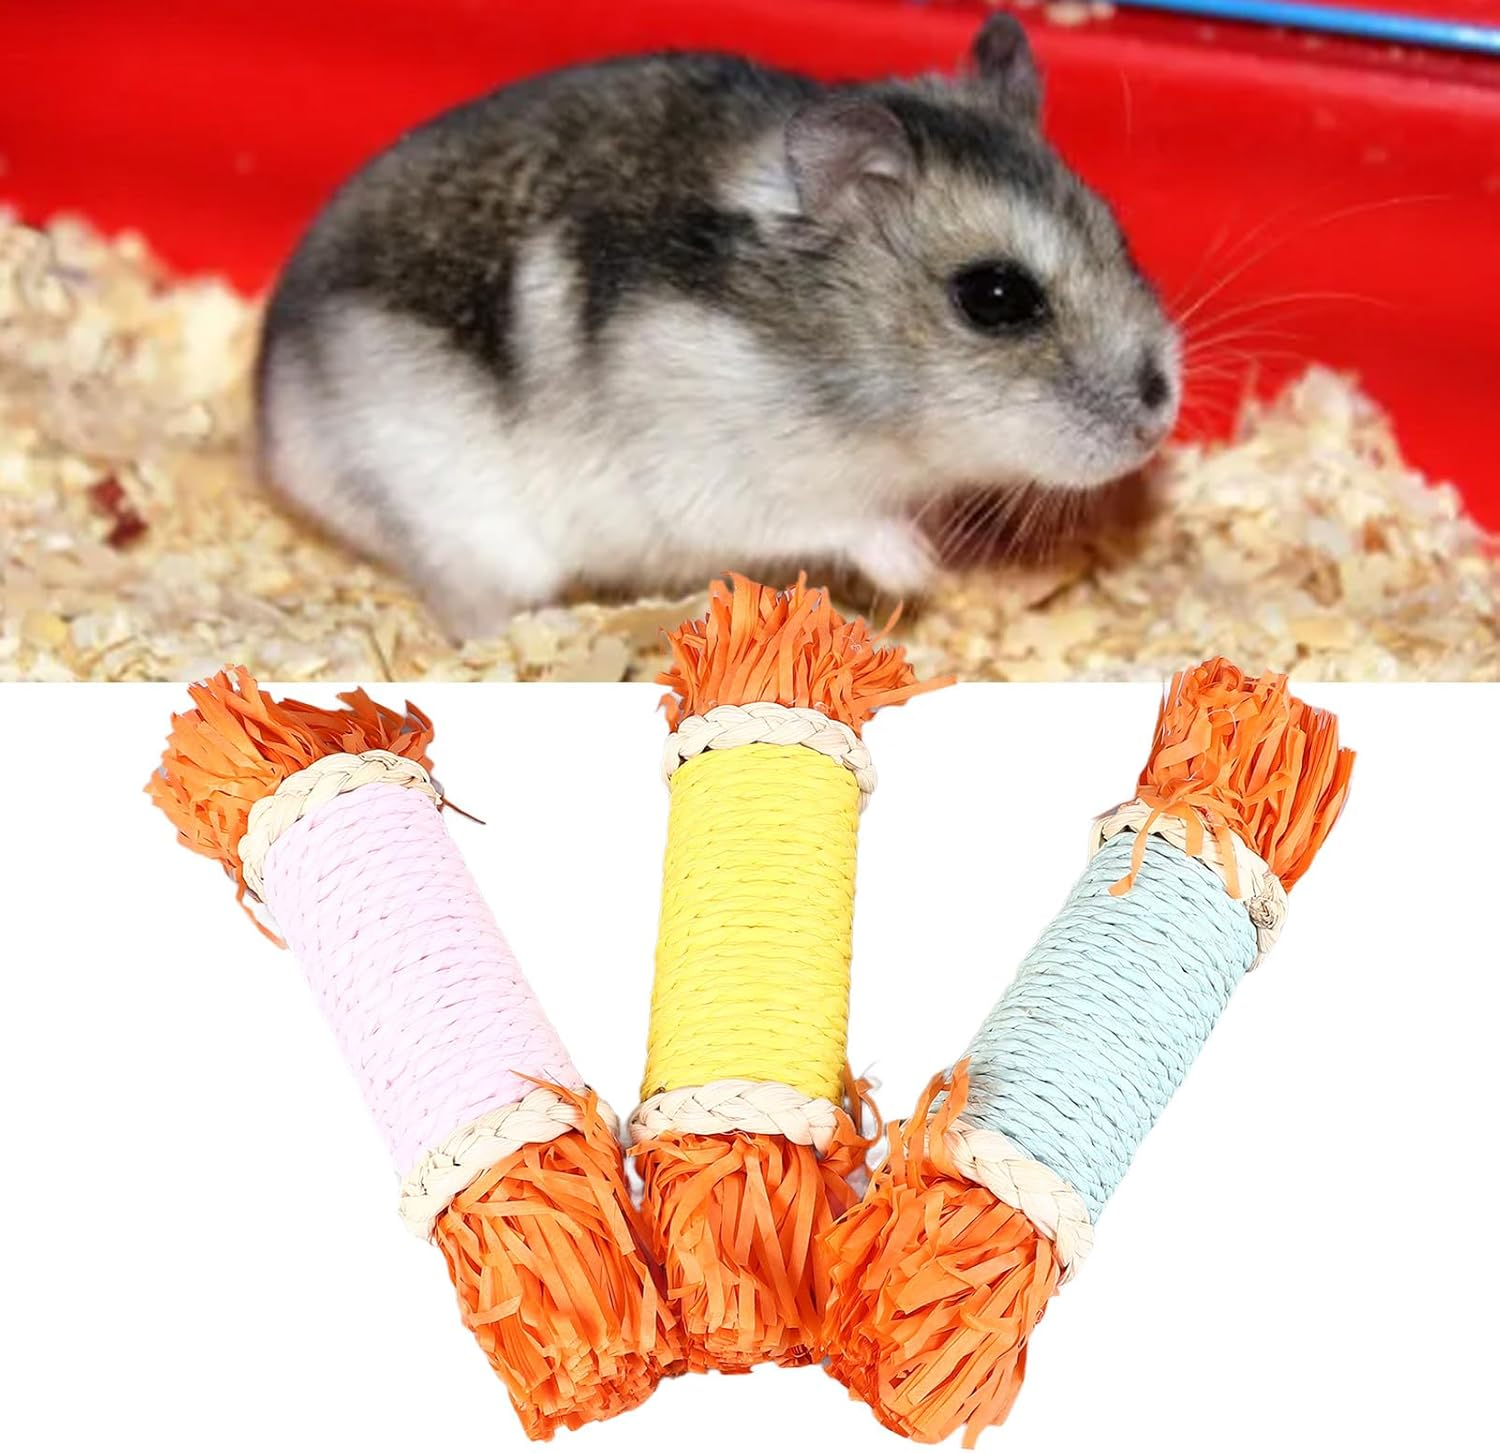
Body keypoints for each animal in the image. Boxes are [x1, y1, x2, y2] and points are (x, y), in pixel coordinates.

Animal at [255, 15, 1179, 638]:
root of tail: (269, 421)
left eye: (1119, 229)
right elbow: (845, 521)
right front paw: (921, 571)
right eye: (994, 297)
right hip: (448, 518)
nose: (1159, 418)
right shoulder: (718, 481)